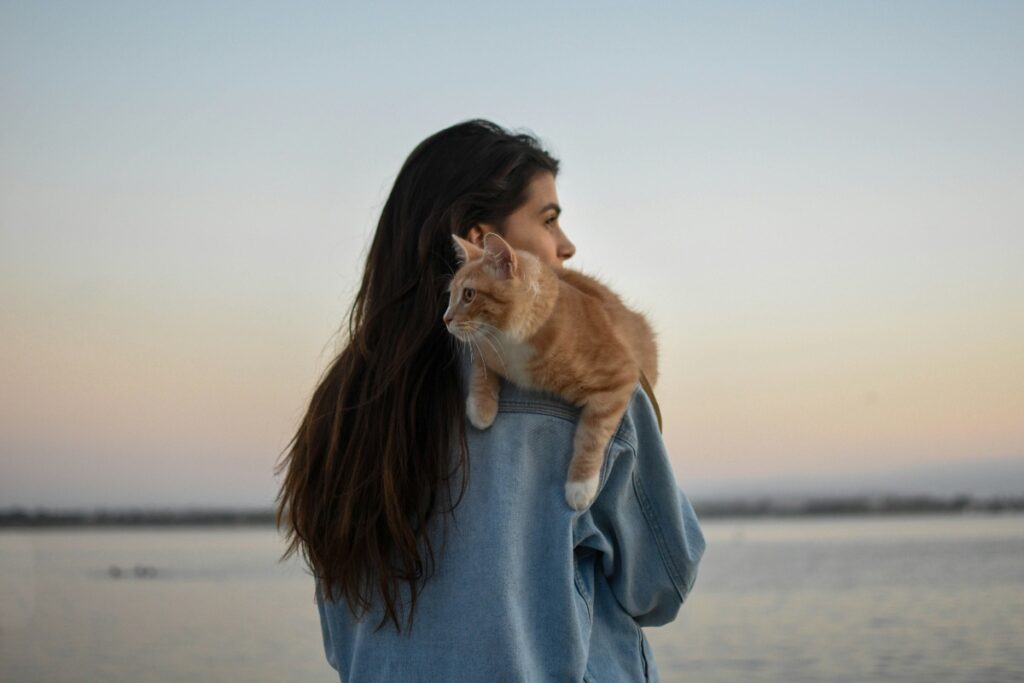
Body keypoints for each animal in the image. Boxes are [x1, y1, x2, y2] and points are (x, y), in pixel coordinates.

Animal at [446, 233, 655, 507]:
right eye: (450, 295)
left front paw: (580, 485)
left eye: (469, 294)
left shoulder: (621, 375)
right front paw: (481, 407)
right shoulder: (486, 348)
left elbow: (592, 435)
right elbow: (482, 366)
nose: (445, 319)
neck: (512, 343)